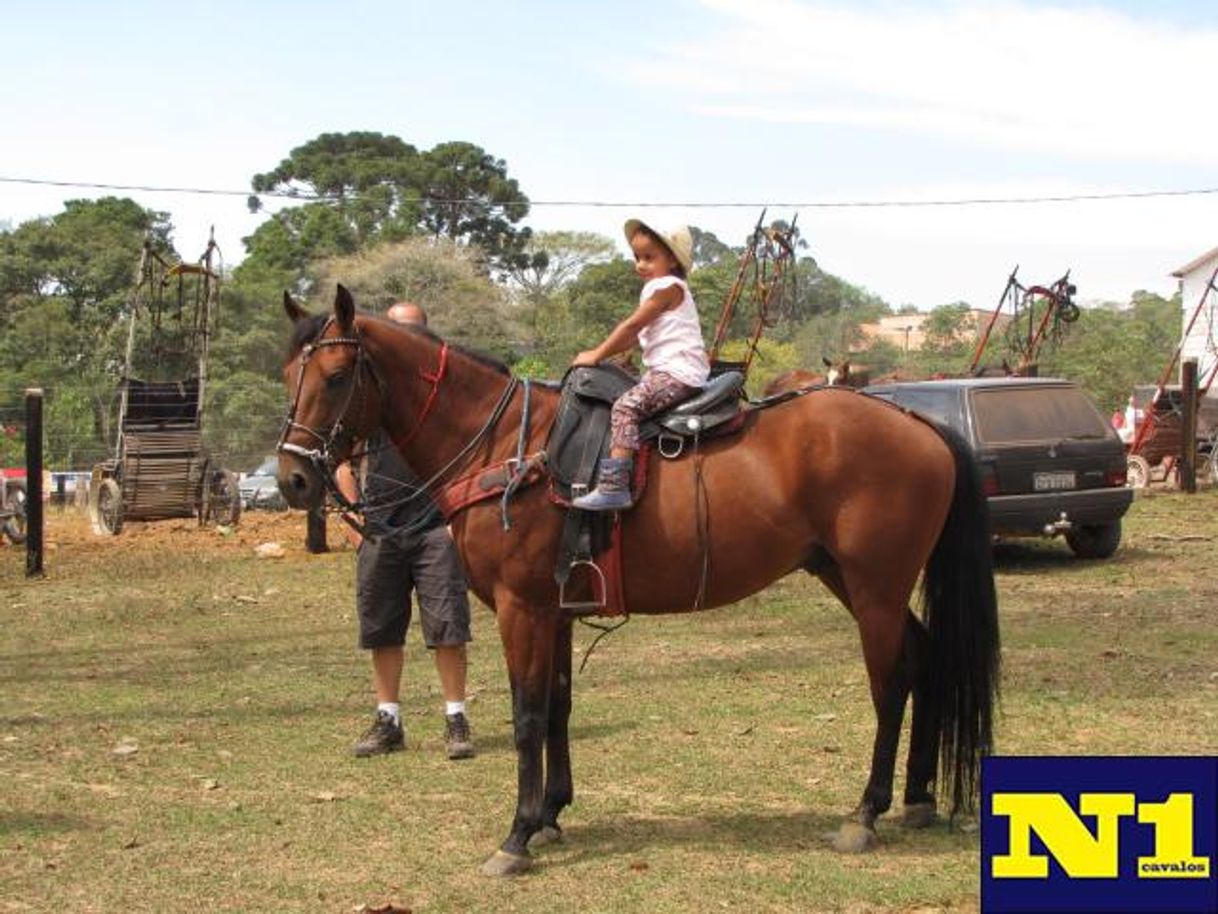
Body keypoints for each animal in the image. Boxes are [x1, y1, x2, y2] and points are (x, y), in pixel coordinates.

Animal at [276, 290, 998, 877]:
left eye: (336, 377)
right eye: (290, 376)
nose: (294, 479)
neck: (506, 446)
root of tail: (919, 424)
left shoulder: (521, 610)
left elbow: (527, 716)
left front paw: (517, 836)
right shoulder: (556, 610)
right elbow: (558, 707)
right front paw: (551, 814)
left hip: (875, 588)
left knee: (892, 680)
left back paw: (866, 812)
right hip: (846, 577)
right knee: (924, 658)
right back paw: (917, 798)